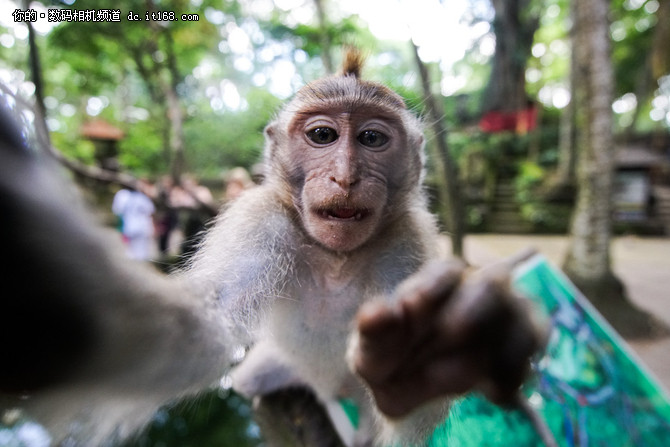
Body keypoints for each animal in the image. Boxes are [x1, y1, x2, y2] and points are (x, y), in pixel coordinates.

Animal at [0, 50, 544, 447]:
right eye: (323, 135)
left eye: (371, 138)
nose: (345, 176)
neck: (335, 255)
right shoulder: (259, 222)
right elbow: (210, 322)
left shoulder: (408, 245)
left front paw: (415, 368)